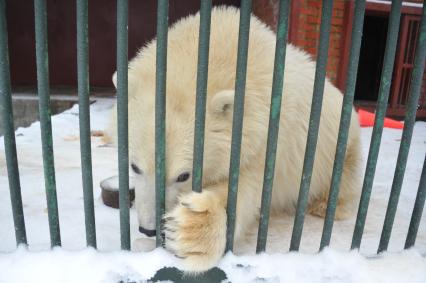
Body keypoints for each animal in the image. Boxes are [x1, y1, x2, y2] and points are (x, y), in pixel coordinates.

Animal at [108, 6, 362, 272]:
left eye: (183, 175)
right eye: (135, 166)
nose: (148, 229)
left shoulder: (266, 136)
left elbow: (244, 189)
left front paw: (191, 229)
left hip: (341, 146)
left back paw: (325, 206)